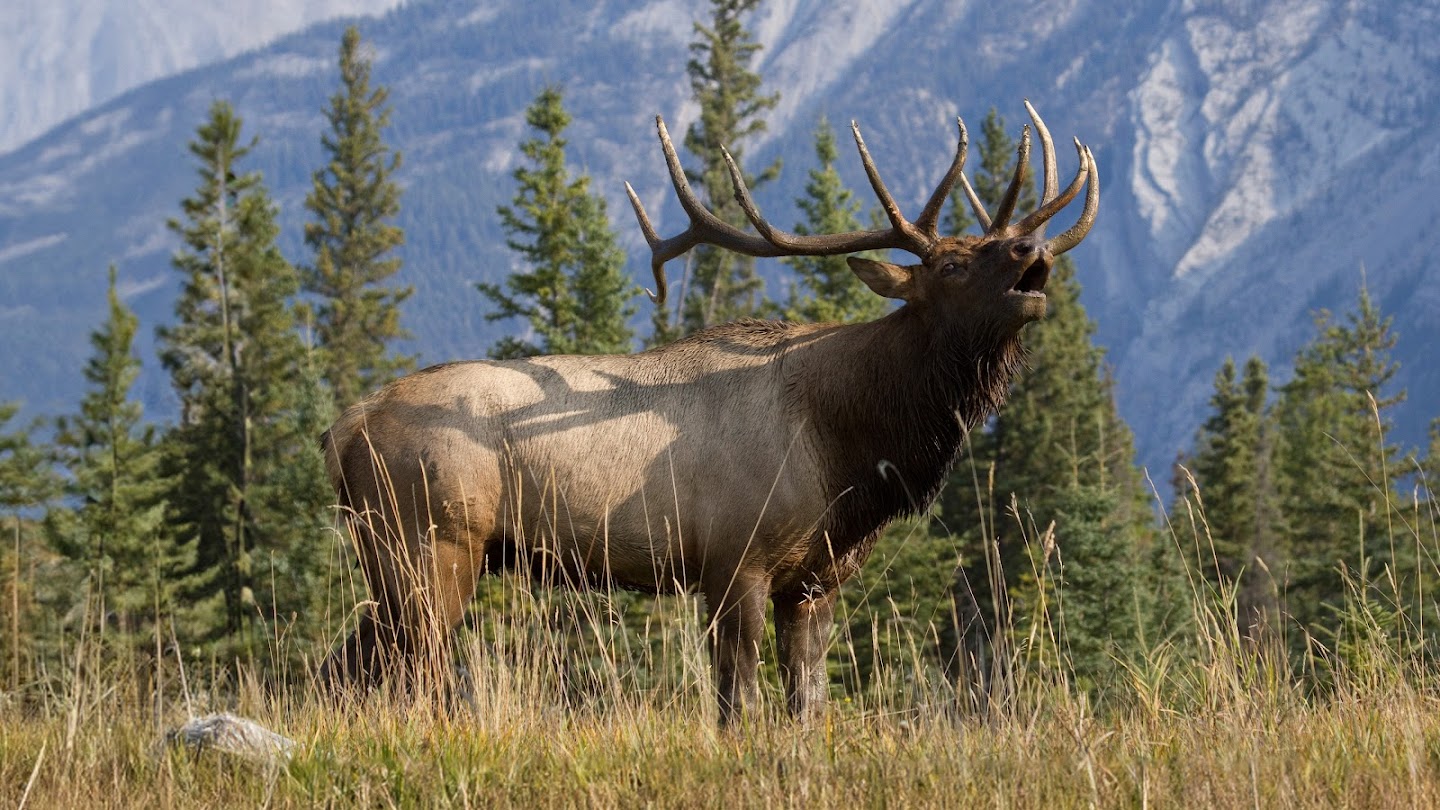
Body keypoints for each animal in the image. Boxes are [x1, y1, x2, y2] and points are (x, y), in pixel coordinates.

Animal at [318, 101, 1097, 724]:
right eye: (952, 266)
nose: (1033, 249)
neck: (849, 451)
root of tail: (347, 424)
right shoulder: (735, 558)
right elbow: (737, 703)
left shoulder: (815, 580)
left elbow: (806, 705)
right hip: (431, 542)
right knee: (409, 670)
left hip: (391, 556)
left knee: (349, 667)